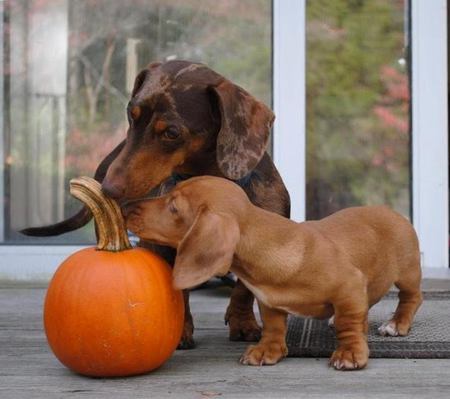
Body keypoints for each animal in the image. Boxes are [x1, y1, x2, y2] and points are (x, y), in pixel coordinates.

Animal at [125, 177, 422, 370]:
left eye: (174, 207)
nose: (127, 207)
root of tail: (391, 211)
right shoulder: (269, 302)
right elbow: (274, 326)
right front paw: (268, 350)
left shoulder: (349, 286)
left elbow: (348, 325)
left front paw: (349, 352)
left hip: (407, 273)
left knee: (411, 298)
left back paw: (396, 324)